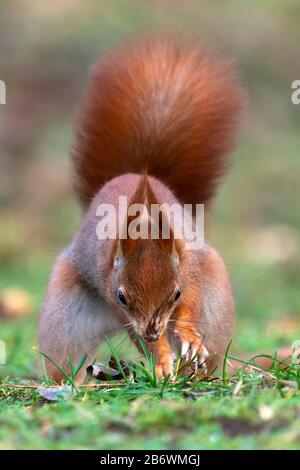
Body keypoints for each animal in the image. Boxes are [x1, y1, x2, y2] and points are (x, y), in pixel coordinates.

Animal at [39, 35, 244, 382]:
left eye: (175, 294)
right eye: (122, 296)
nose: (152, 331)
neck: (146, 221)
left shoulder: (188, 263)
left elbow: (192, 302)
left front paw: (189, 337)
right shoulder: (110, 291)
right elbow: (136, 333)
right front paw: (160, 359)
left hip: (216, 297)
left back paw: (199, 370)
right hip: (66, 318)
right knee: (65, 359)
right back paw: (78, 384)